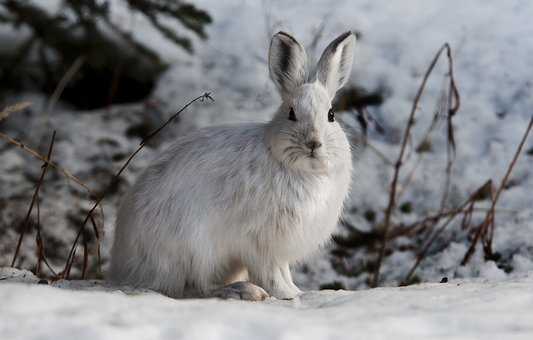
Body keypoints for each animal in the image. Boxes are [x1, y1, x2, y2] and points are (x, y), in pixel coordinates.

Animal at [108, 31, 358, 300]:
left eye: (331, 115)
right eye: (291, 114)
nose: (313, 143)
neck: (302, 170)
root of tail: (124, 269)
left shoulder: (278, 250)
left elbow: (283, 271)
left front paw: (296, 291)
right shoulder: (260, 243)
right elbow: (270, 273)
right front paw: (286, 294)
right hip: (194, 250)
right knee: (195, 287)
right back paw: (244, 291)